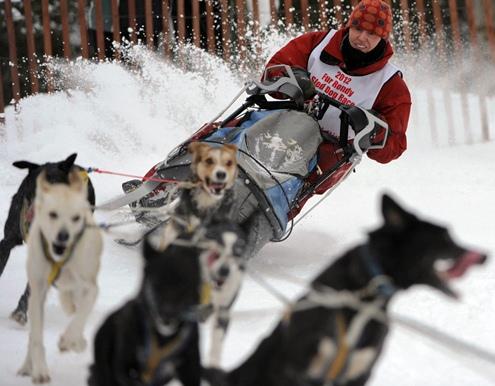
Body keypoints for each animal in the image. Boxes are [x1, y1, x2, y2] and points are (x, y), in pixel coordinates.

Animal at [17, 170, 102, 384]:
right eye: (53, 214)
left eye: (76, 218)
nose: (63, 236)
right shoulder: (37, 291)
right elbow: (36, 336)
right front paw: (39, 370)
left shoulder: (89, 288)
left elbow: (80, 316)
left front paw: (69, 340)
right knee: (34, 333)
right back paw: (27, 365)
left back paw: (77, 341)